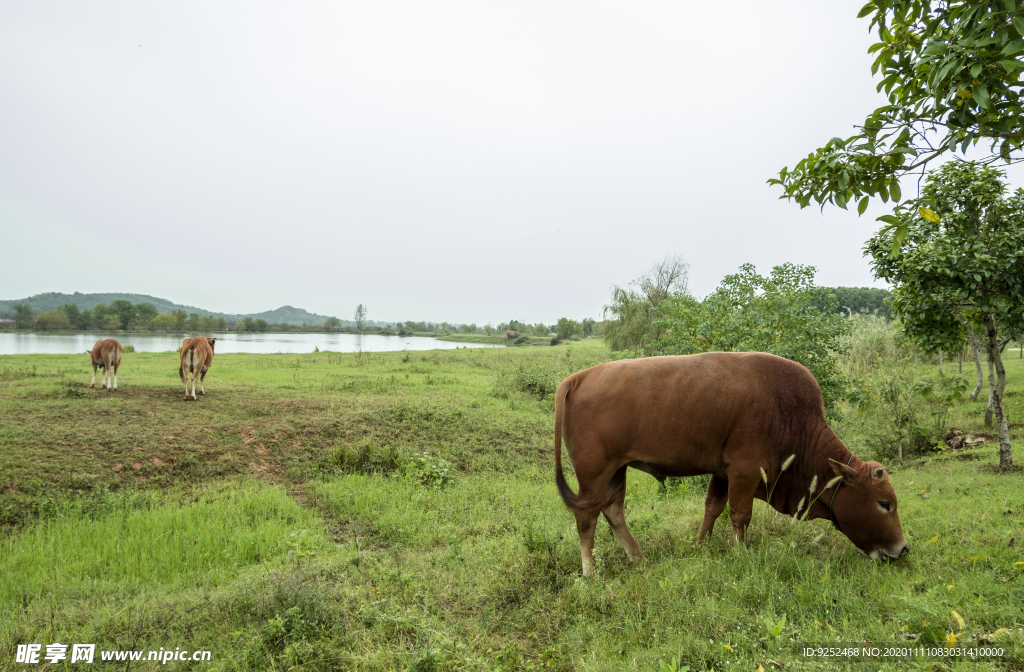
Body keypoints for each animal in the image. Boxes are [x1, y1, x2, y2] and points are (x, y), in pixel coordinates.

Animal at [557, 352, 909, 577]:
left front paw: (701, 545)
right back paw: (591, 572)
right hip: (594, 475)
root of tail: (577, 378)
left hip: (617, 471)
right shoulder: (745, 471)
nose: (902, 549)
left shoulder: (723, 474)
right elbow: (740, 515)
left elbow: (713, 507)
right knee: (586, 518)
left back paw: (638, 559)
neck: (790, 415)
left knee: (613, 510)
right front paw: (741, 554)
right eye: (884, 504)